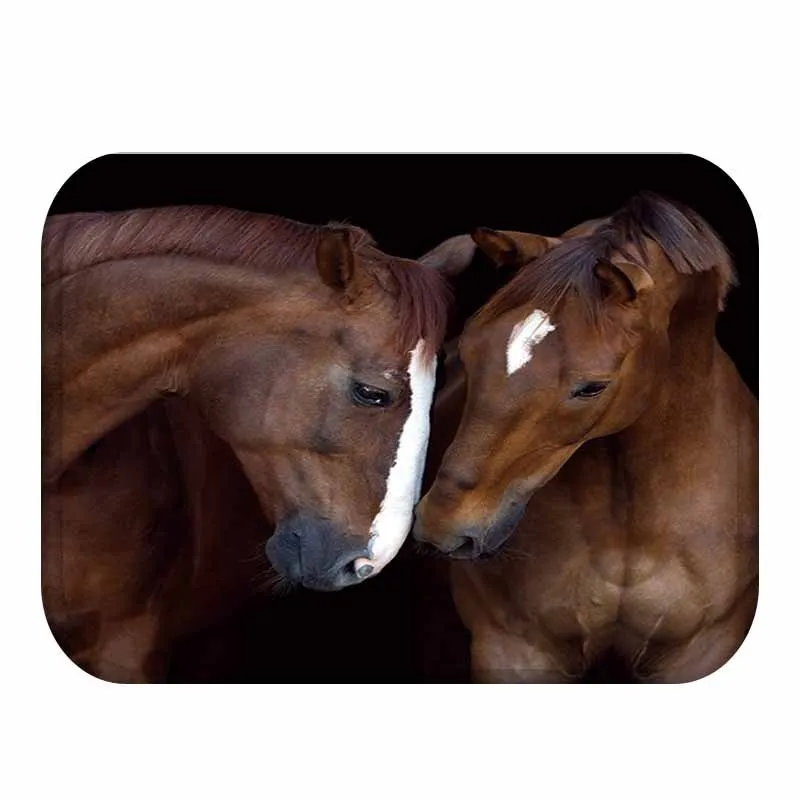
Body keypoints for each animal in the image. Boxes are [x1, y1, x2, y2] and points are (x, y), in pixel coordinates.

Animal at [414, 192, 758, 682]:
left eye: (592, 387)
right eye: (468, 351)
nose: (443, 526)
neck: (630, 529)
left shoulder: (702, 651)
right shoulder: (515, 652)